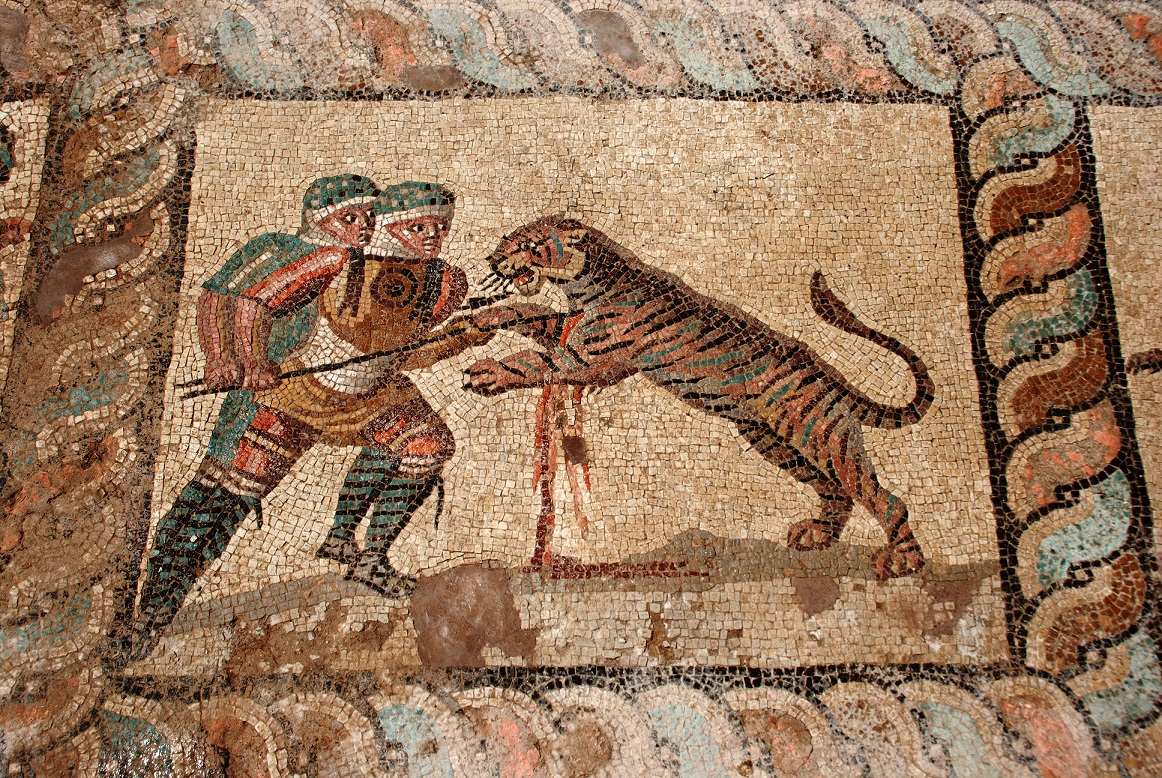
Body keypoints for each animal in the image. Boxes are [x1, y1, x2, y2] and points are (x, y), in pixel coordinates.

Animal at [463, 216, 936, 581]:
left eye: (529, 245)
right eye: (509, 238)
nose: (492, 260)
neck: (584, 284)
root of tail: (834, 378)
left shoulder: (587, 357)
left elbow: (529, 359)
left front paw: (486, 372)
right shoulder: (568, 332)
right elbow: (529, 313)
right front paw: (480, 317)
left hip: (822, 439)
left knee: (885, 499)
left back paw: (903, 561)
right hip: (773, 443)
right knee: (836, 493)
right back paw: (817, 535)